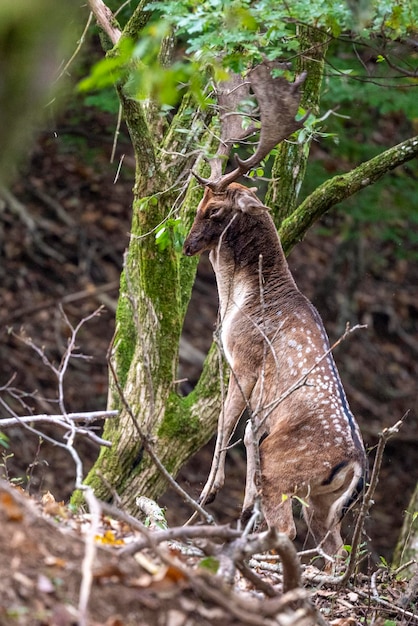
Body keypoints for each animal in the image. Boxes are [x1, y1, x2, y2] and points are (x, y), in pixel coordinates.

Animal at [183, 64, 366, 560]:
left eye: (214, 210)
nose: (186, 245)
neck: (240, 300)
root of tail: (355, 465)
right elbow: (243, 429)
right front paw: (234, 503)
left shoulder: (244, 360)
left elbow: (229, 426)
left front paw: (209, 495)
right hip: (323, 505)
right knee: (334, 551)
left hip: (283, 471)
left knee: (287, 527)